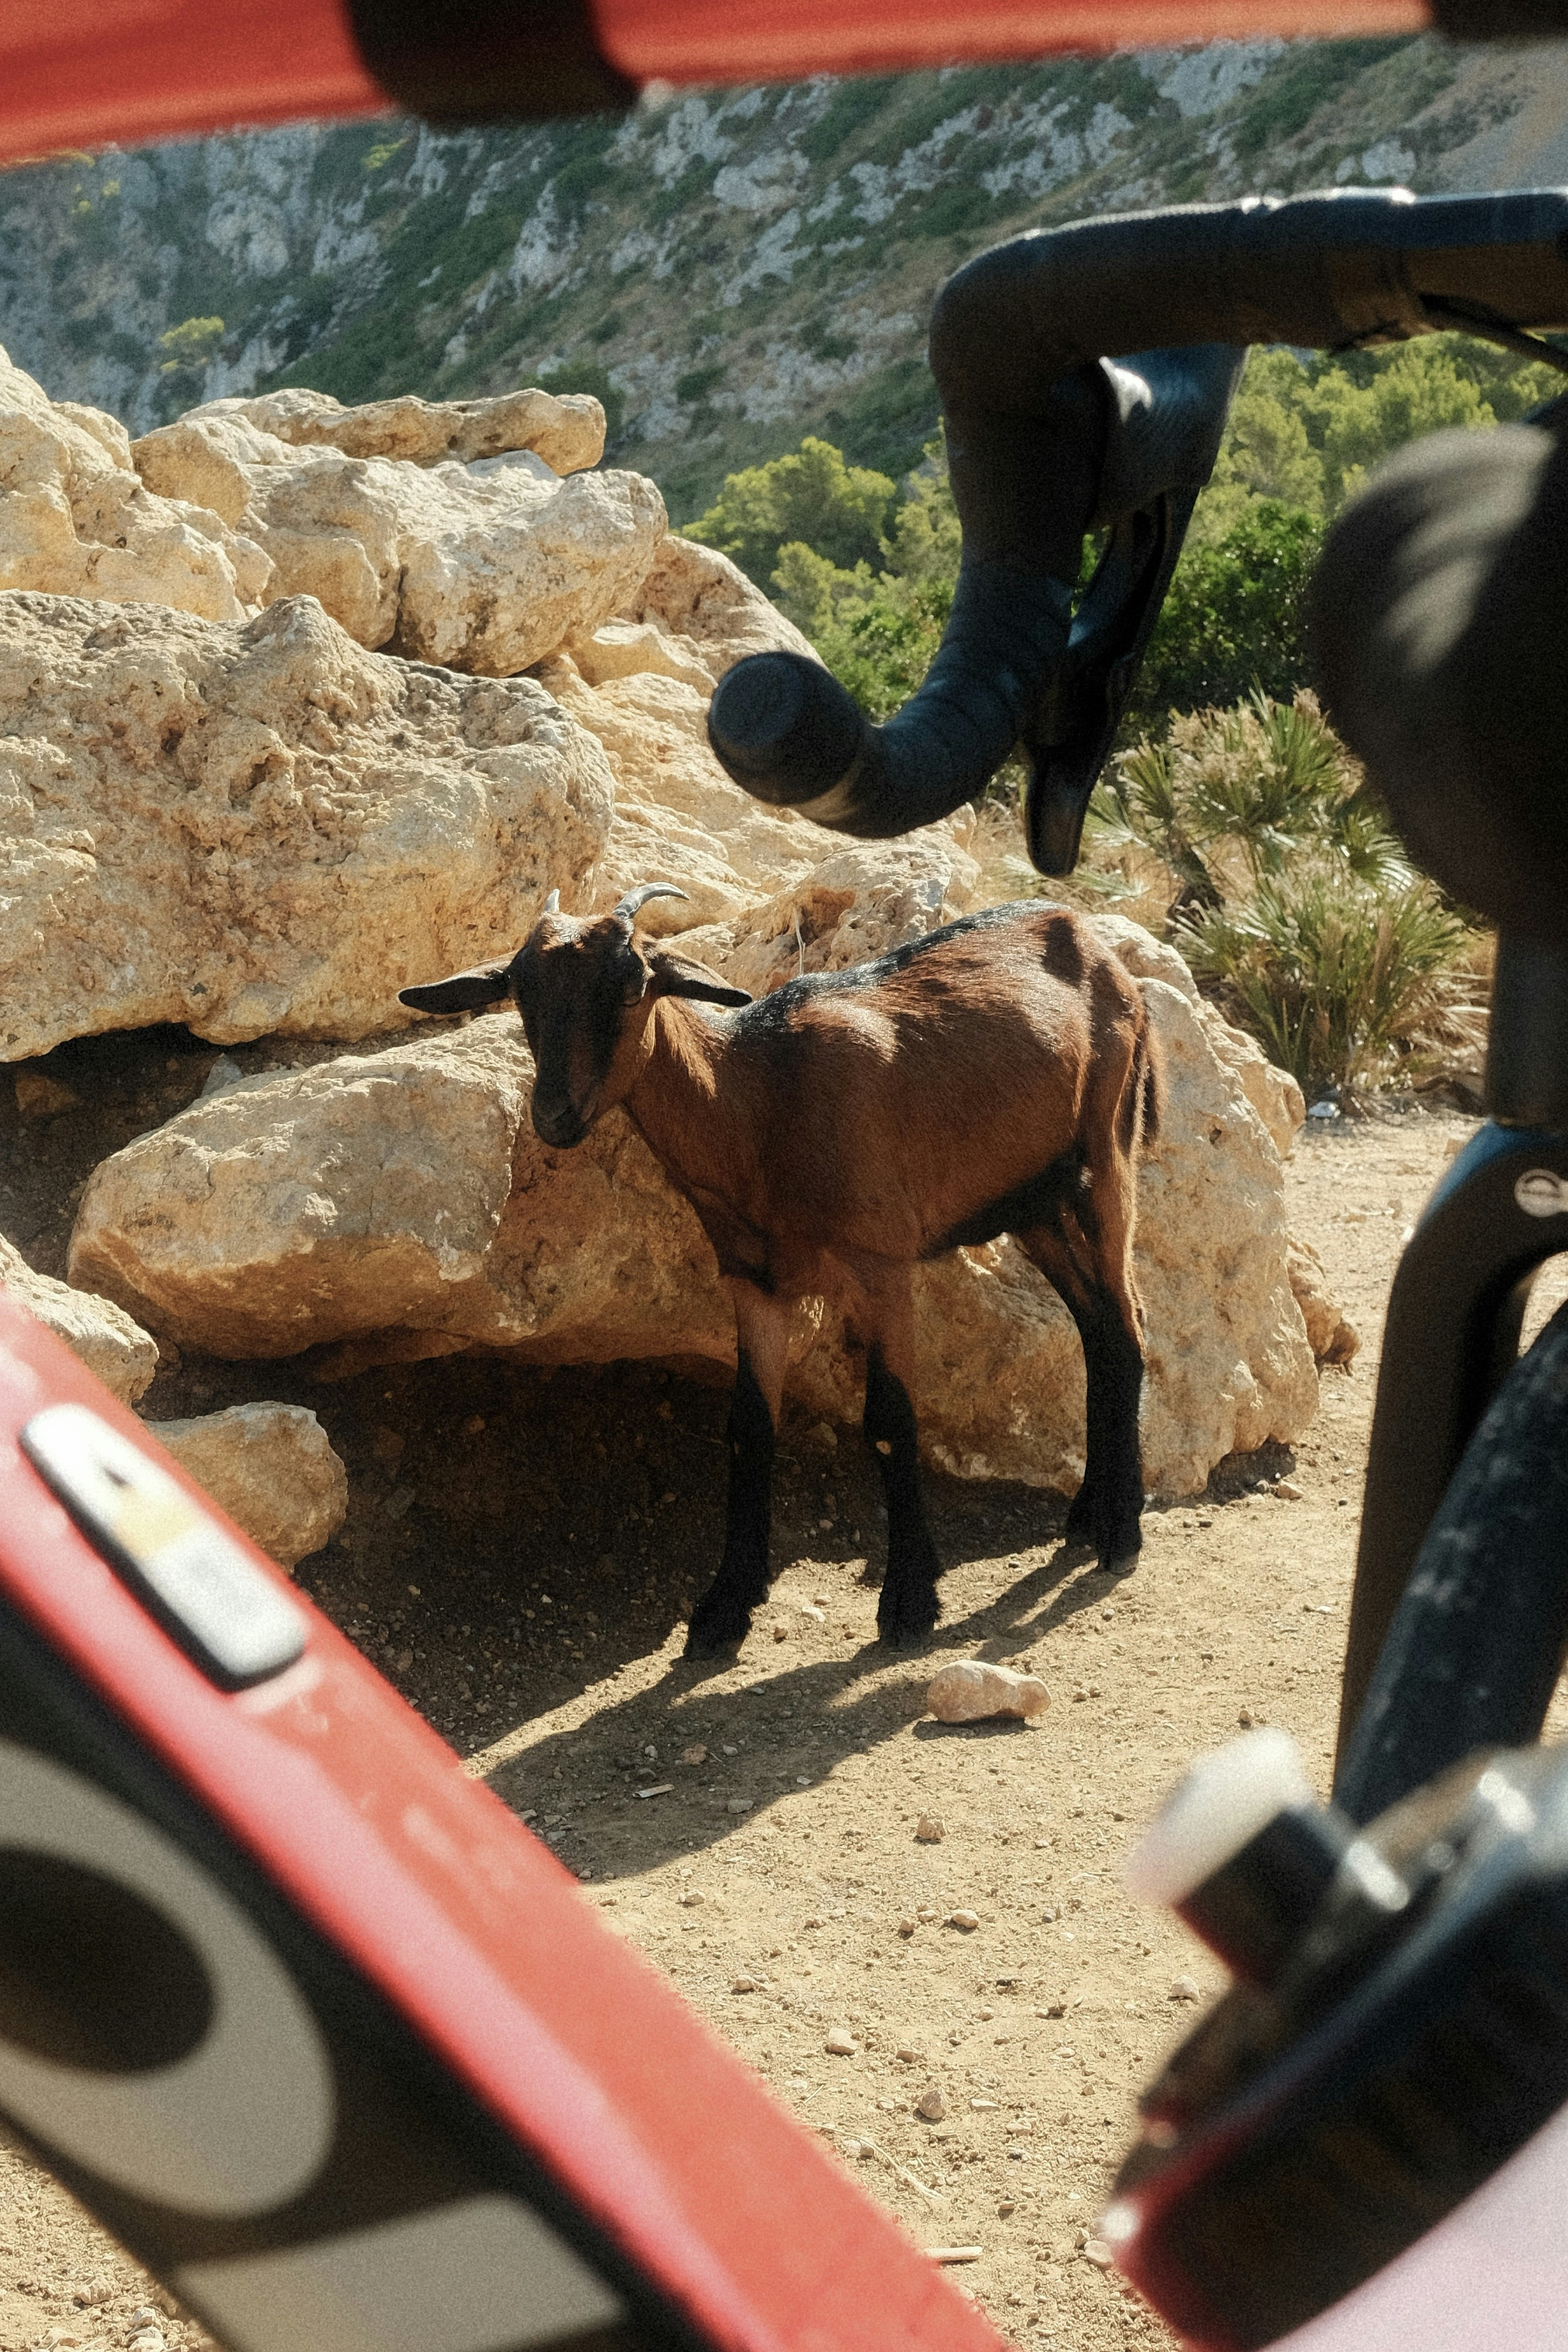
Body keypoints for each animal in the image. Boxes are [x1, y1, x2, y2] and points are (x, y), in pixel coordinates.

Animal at [400, 883, 1162, 1655]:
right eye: (519, 989)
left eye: (633, 984)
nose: (554, 1116)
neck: (760, 1104)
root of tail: (1087, 938)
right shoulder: (754, 1281)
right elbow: (748, 1428)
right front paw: (725, 1604)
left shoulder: (881, 1262)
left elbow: (891, 1421)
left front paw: (909, 1601)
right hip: (1033, 1200)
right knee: (1097, 1328)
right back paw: (1088, 1514)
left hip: (1107, 1146)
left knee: (1128, 1320)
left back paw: (1121, 1533)